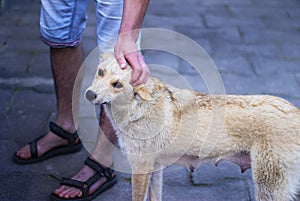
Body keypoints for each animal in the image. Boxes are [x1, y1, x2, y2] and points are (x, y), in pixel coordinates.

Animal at [84, 53, 300, 201]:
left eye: (117, 85)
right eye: (100, 72)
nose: (89, 94)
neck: (137, 108)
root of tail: (295, 112)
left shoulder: (140, 166)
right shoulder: (155, 167)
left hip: (268, 186)